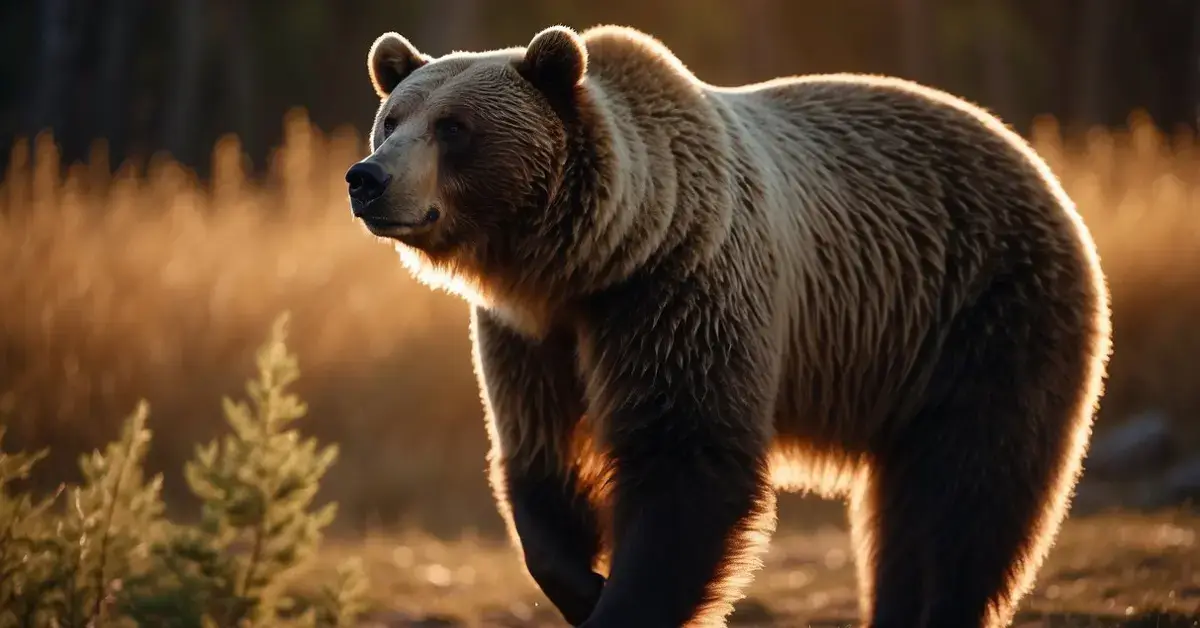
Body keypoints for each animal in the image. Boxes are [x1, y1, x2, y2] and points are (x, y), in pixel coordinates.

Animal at [344, 23, 1112, 628]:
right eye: (392, 118)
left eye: (454, 127)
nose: (368, 178)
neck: (592, 260)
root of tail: (1030, 155)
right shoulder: (530, 337)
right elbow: (541, 458)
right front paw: (584, 583)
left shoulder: (682, 291)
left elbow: (688, 462)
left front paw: (620, 601)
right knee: (904, 515)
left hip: (989, 314)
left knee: (971, 495)